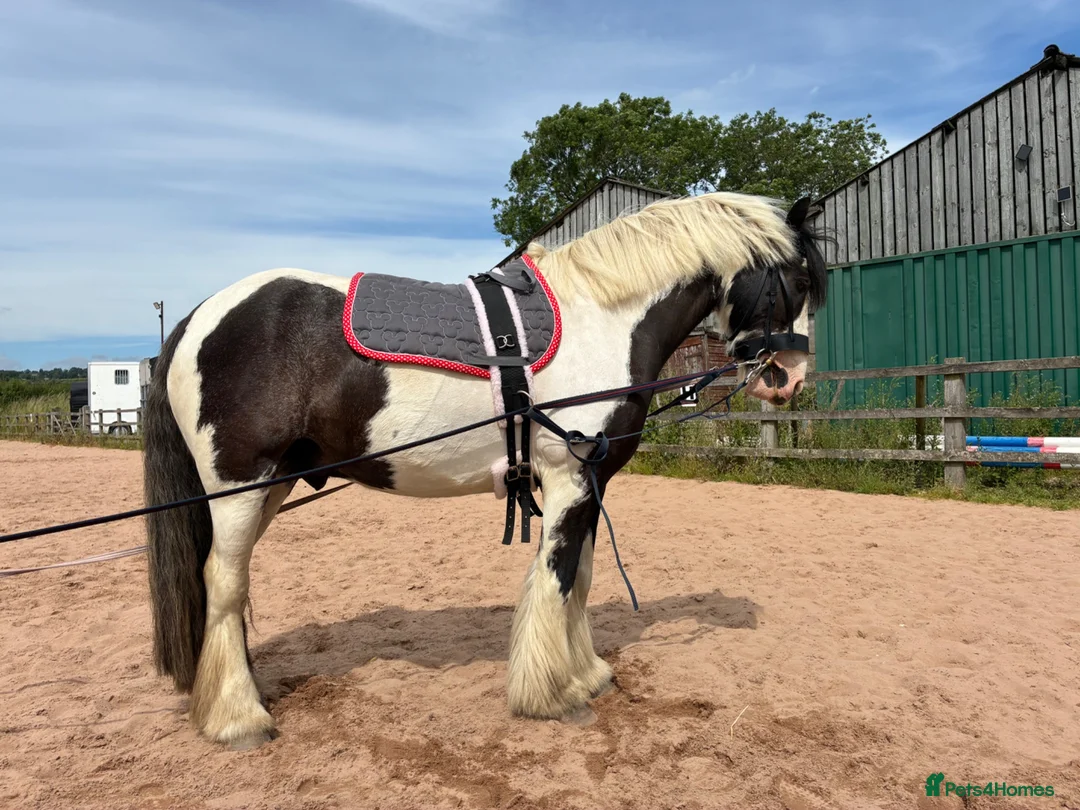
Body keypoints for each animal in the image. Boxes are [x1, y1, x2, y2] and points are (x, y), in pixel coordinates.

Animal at [143, 191, 828, 749]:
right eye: (796, 280)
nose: (790, 380)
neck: (601, 319)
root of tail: (197, 318)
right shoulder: (568, 477)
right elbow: (556, 576)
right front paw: (552, 695)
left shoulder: (592, 484)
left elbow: (580, 577)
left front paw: (587, 675)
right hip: (239, 485)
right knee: (223, 582)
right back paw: (239, 718)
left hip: (272, 486)